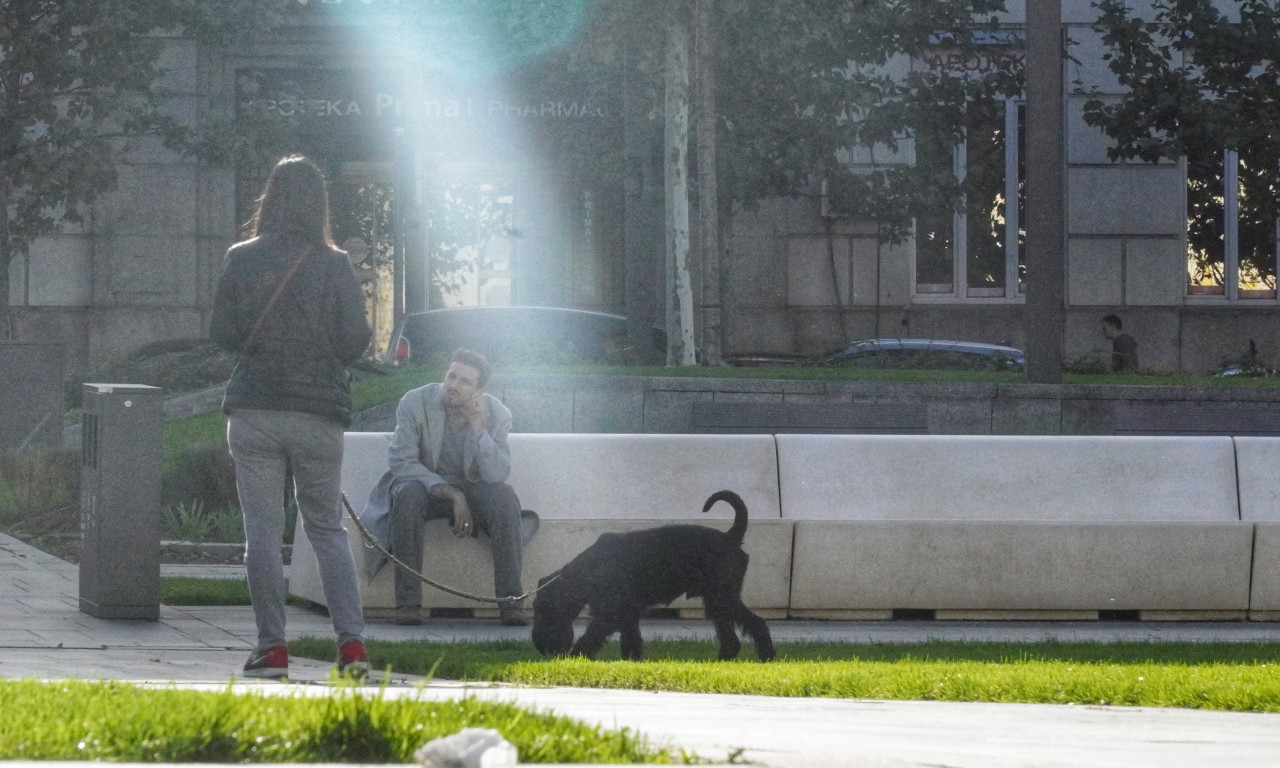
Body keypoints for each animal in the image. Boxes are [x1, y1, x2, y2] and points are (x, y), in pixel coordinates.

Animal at [527, 491, 768, 660]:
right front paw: (631, 662)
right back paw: (763, 657)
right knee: (754, 624)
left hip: (720, 600)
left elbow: (591, 637)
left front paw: (575, 657)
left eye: (543, 608)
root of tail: (731, 538)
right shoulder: (628, 614)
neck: (586, 572)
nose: (541, 646)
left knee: (736, 633)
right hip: (724, 599)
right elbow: (631, 641)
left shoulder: (609, 615)